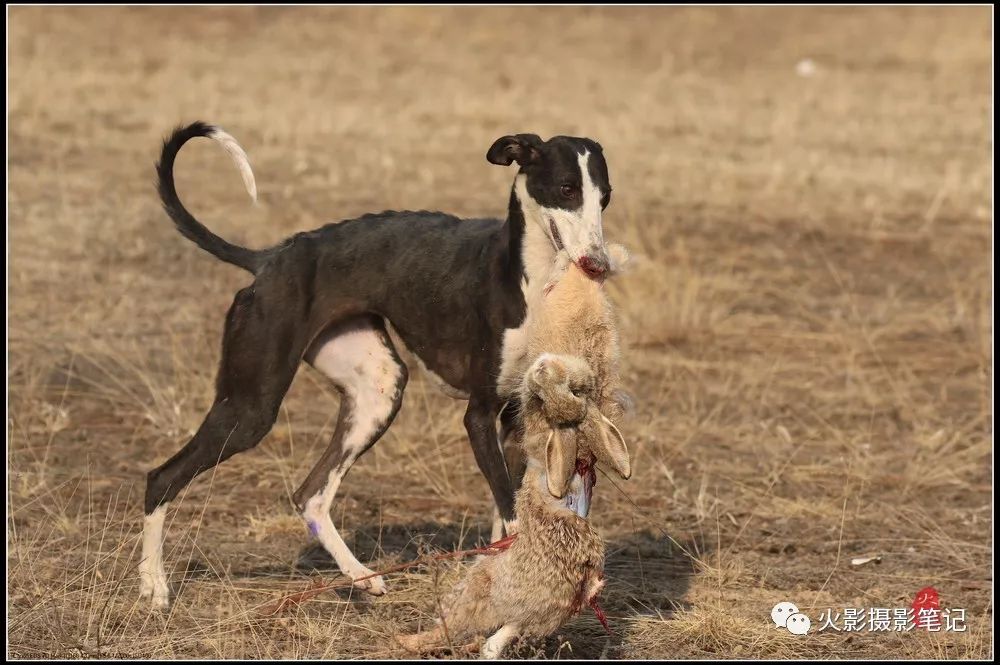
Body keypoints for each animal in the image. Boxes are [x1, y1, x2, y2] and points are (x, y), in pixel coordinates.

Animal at [138, 120, 612, 608]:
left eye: (605, 198)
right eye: (567, 189)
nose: (599, 265)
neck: (525, 277)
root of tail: (269, 259)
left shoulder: (515, 419)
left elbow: (507, 513)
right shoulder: (479, 416)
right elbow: (510, 516)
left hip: (377, 390)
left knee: (310, 495)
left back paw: (363, 576)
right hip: (250, 408)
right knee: (161, 478)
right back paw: (154, 587)